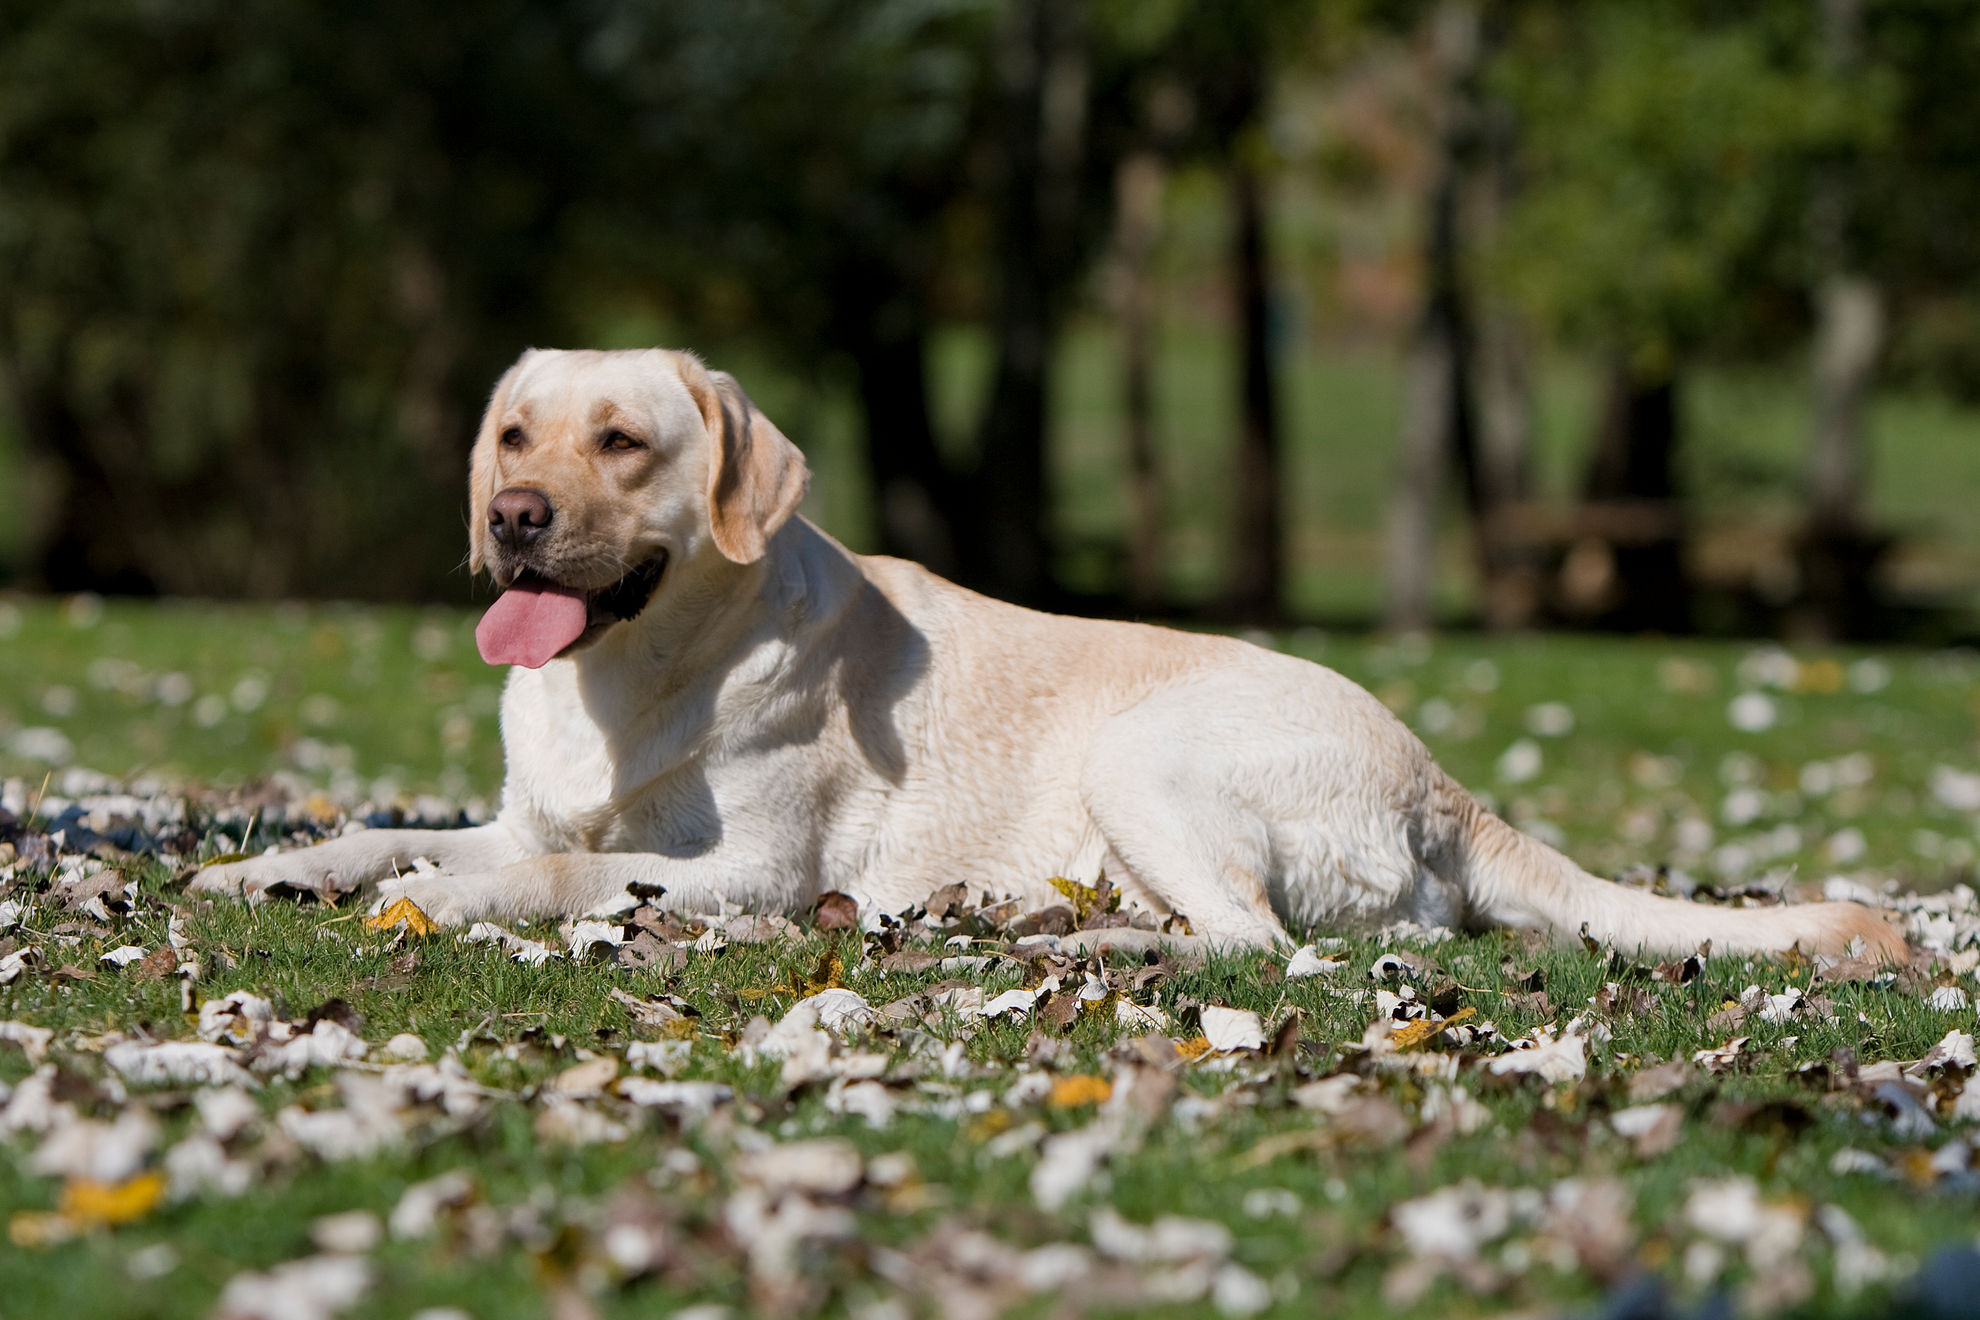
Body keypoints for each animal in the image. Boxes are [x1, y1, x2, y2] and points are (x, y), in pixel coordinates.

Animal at [197, 346, 1900, 953]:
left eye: (622, 442)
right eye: (512, 434)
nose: (518, 518)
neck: (634, 674)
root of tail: (1445, 782)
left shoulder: (747, 872)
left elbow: (546, 876)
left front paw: (438, 901)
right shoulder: (526, 805)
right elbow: (405, 832)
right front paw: (275, 868)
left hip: (1142, 756)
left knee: (1259, 942)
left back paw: (1081, 946)